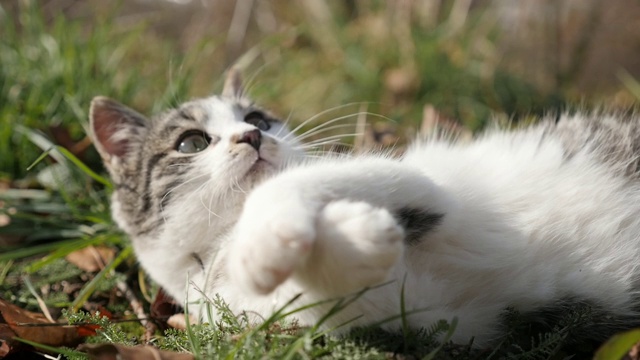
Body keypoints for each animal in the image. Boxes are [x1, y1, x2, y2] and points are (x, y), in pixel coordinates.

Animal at [87, 69, 640, 348]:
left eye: (259, 119)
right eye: (191, 143)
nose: (252, 137)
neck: (216, 253)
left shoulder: (422, 182)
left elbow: (282, 189)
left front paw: (269, 243)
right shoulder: (447, 319)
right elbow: (346, 299)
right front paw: (362, 240)